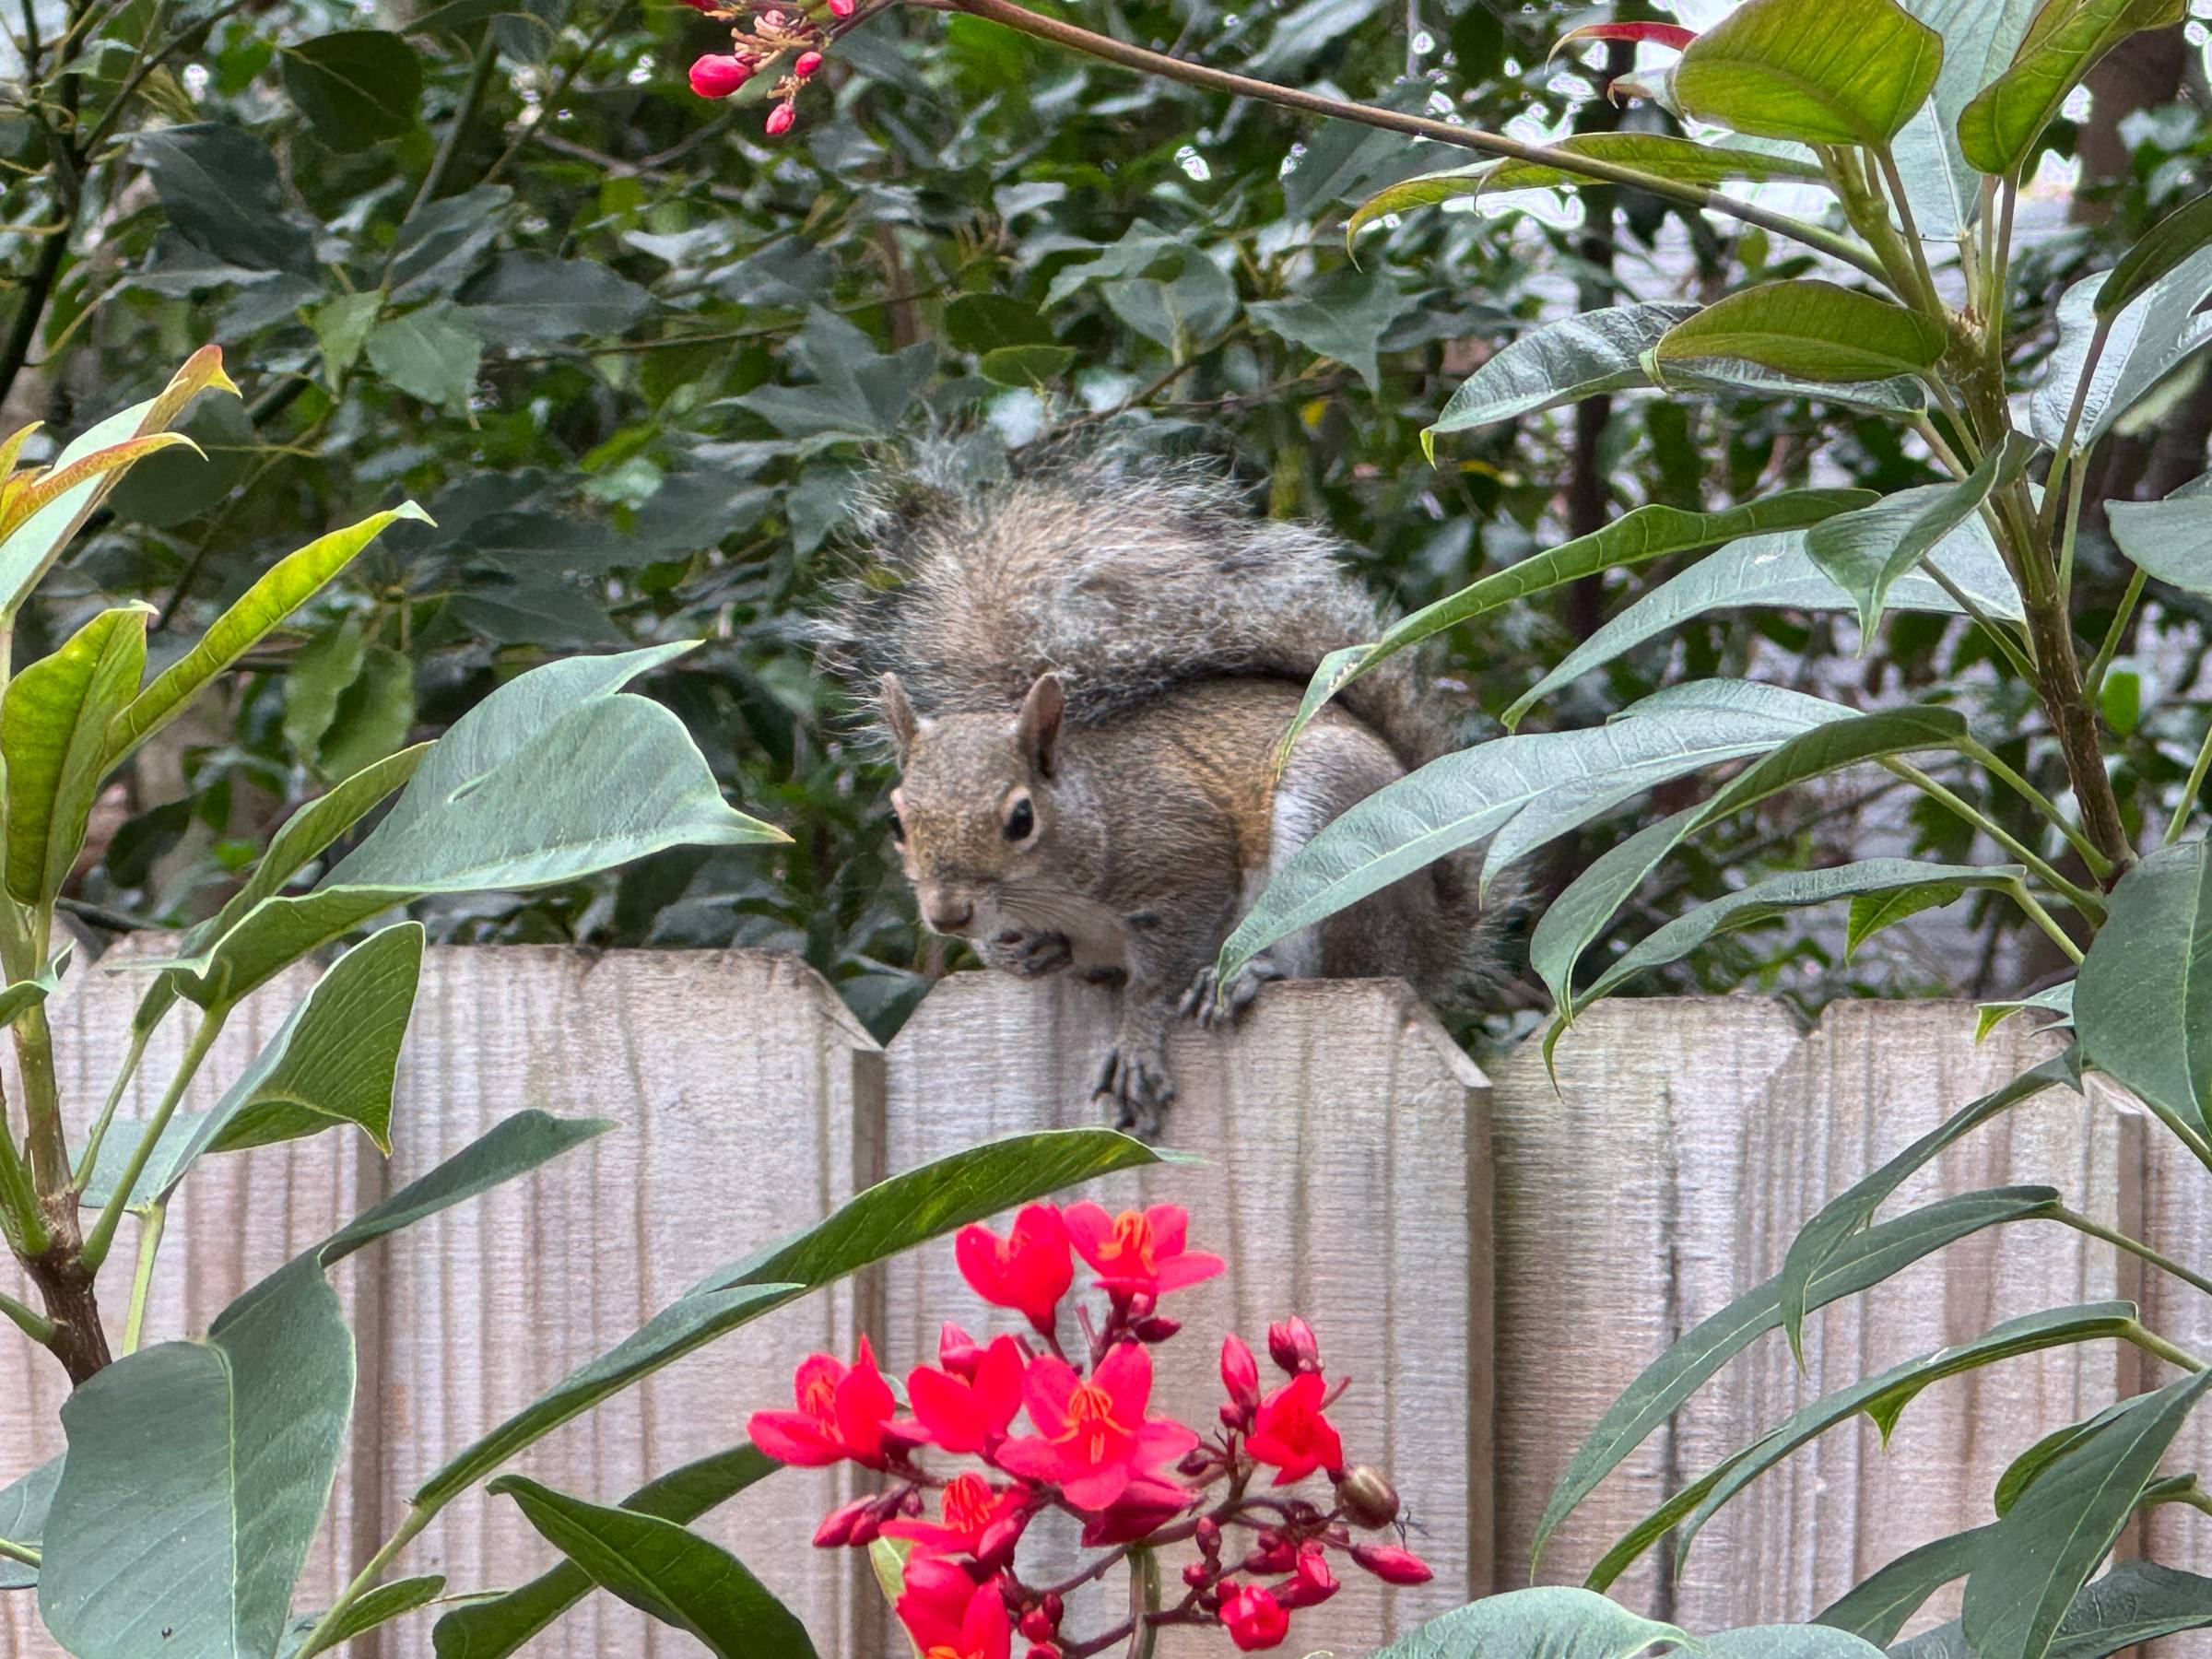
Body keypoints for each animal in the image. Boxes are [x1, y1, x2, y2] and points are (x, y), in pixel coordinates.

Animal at [824, 443, 1510, 1134]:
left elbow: (1160, 972)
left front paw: (1137, 1040)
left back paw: (1246, 975)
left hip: (1334, 838)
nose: (947, 915)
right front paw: (1014, 954)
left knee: (1328, 969)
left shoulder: (1182, 858)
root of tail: (1427, 944)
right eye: (897, 821)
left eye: (1021, 819)